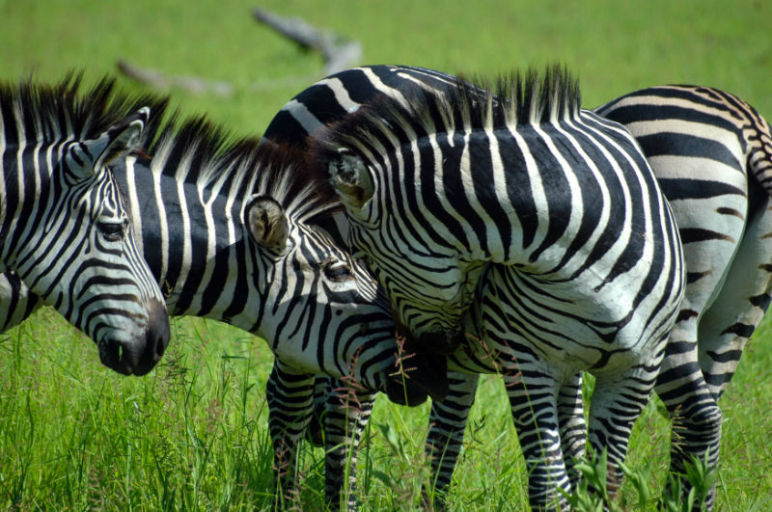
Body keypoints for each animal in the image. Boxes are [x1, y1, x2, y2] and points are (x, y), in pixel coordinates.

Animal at [264, 65, 771, 510]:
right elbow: (555, 468)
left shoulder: (627, 365)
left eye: (364, 262)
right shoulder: (529, 359)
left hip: (717, 322)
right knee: (310, 404)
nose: (420, 364)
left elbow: (584, 468)